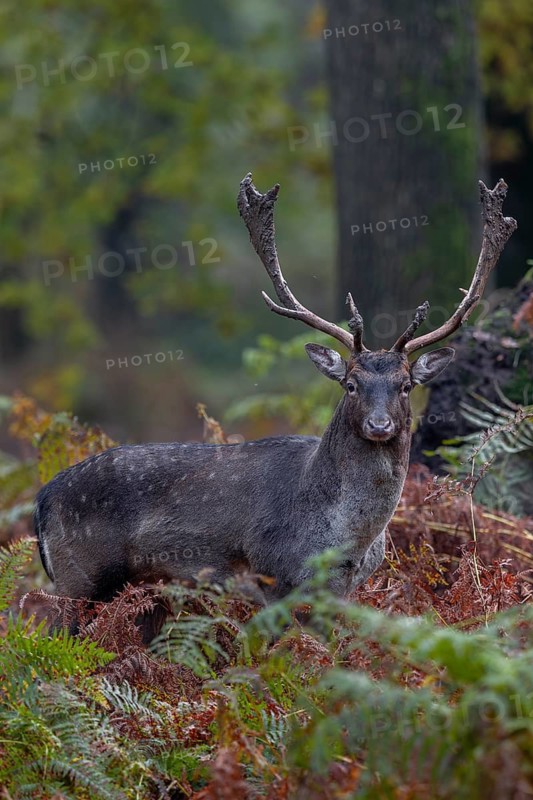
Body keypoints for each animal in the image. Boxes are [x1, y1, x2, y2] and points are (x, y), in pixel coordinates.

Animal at [34, 175, 516, 640]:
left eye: (405, 386)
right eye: (351, 384)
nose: (379, 425)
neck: (350, 539)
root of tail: (42, 499)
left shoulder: (342, 591)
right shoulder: (274, 576)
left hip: (146, 588)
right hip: (80, 577)